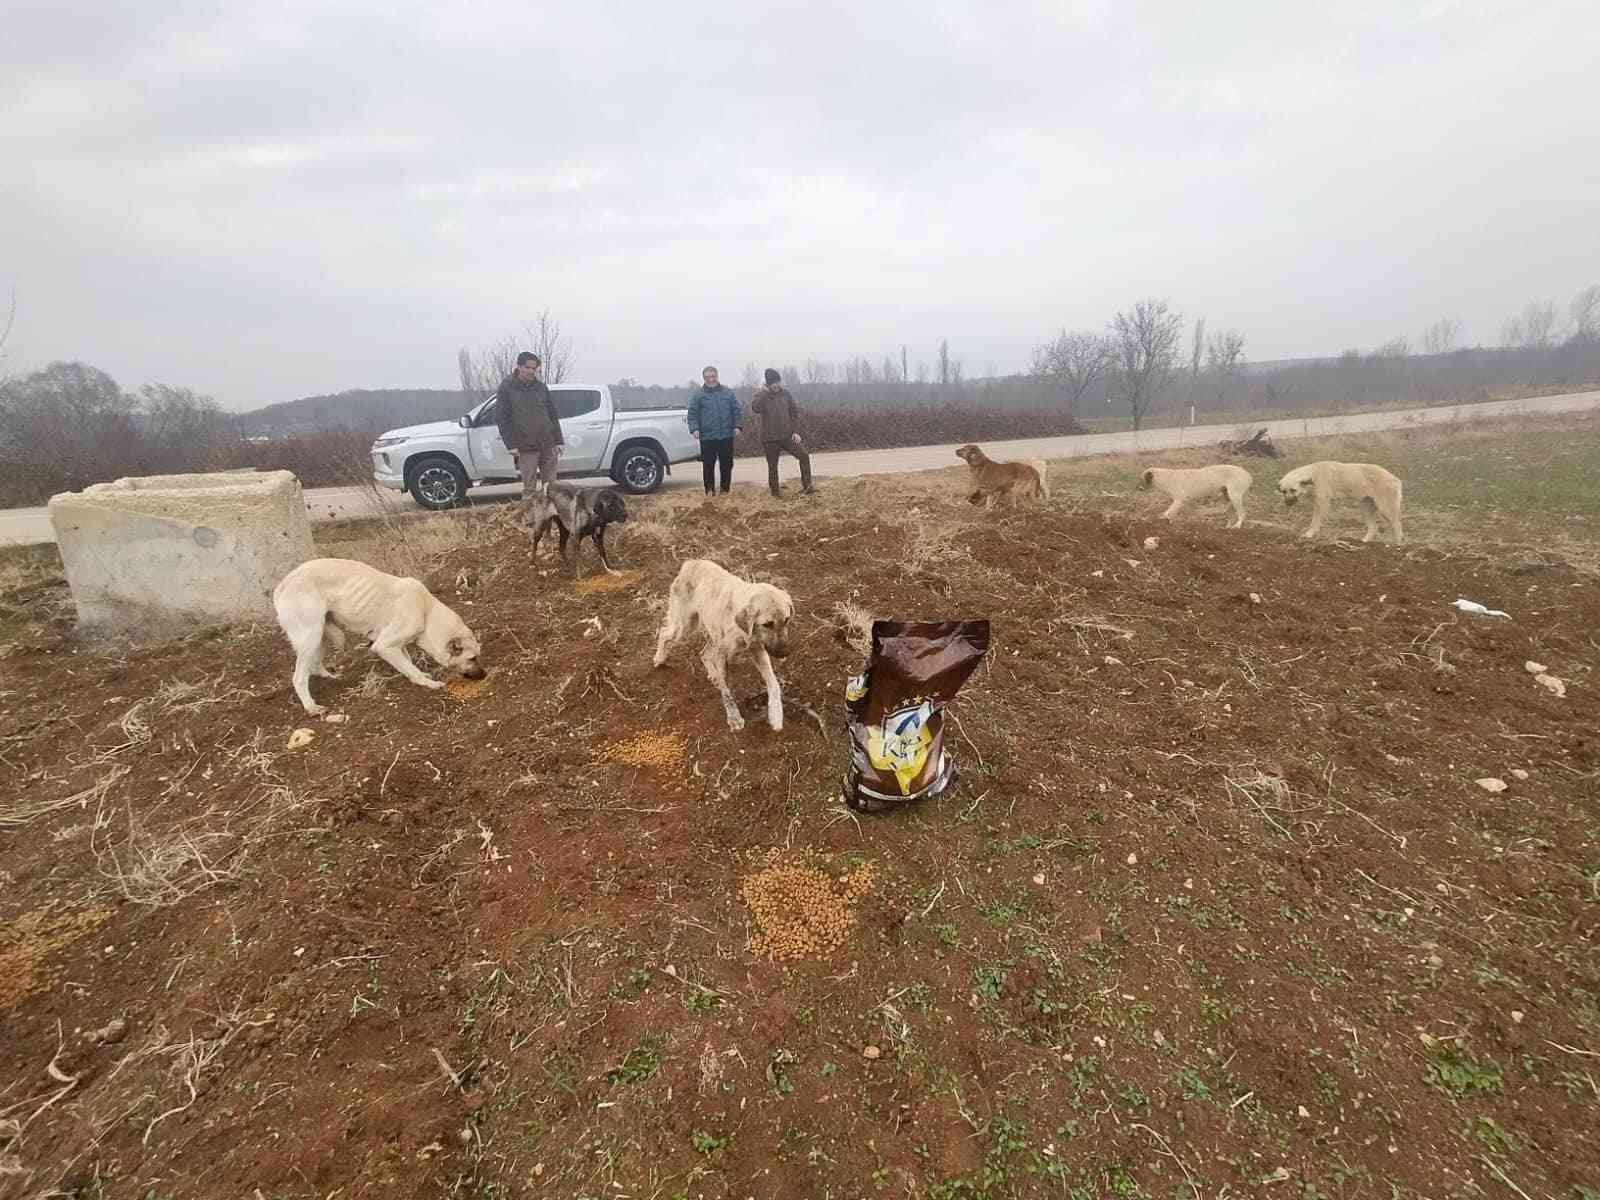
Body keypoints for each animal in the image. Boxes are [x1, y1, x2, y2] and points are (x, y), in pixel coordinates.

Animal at [272, 556, 483, 713]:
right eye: (472, 658)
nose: (485, 675)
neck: (426, 612)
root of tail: (281, 587)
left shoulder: (397, 645)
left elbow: (408, 663)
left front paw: (420, 674)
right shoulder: (384, 646)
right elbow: (411, 669)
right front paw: (427, 683)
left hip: (322, 634)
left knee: (314, 664)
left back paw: (330, 677)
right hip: (311, 636)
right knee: (298, 677)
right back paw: (311, 707)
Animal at [649, 556, 793, 732]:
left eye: (786, 620)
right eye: (767, 624)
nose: (785, 653)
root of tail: (691, 563)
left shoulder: (758, 650)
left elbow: (773, 683)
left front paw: (776, 715)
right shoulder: (723, 655)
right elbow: (727, 691)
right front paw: (734, 717)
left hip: (709, 633)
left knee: (704, 653)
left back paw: (713, 675)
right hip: (685, 626)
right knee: (664, 634)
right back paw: (659, 658)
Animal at [1273, 464, 1401, 544]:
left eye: (1293, 490)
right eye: (1284, 491)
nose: (1288, 503)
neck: (1313, 475)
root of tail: (1395, 478)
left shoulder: (1322, 504)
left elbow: (1315, 522)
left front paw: (1309, 534)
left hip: (1385, 509)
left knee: (1397, 525)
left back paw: (1397, 545)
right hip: (1365, 509)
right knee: (1373, 528)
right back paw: (1364, 542)